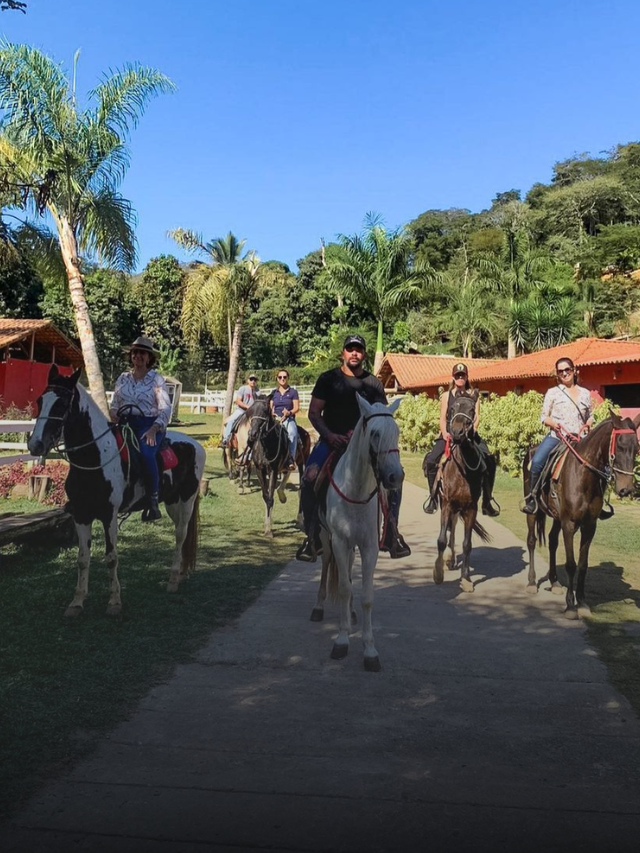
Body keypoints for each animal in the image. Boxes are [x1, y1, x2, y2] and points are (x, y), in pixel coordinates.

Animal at [28, 364, 206, 612]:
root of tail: (194, 444)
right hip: (172, 503)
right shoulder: (81, 515)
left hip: (187, 499)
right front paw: (77, 601)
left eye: (62, 404)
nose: (35, 445)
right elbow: (82, 558)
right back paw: (179, 575)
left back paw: (172, 581)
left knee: (181, 534)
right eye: (40, 400)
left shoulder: (108, 515)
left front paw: (114, 601)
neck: (95, 458)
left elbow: (111, 557)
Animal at [316, 398, 404, 672]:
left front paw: (369, 650)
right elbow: (344, 588)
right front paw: (342, 640)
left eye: (397, 431)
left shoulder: (368, 547)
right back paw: (318, 606)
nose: (395, 477)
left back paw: (352, 613)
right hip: (325, 538)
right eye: (374, 433)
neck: (355, 489)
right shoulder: (339, 542)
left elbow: (366, 596)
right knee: (326, 566)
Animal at [436, 390, 490, 588]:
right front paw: (438, 573)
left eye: (472, 410)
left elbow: (467, 544)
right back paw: (448, 560)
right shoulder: (446, 503)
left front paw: (466, 578)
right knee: (449, 530)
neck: (462, 471)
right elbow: (441, 539)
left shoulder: (470, 508)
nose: (457, 433)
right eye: (452, 408)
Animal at [524, 414, 640, 620]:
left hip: (557, 517)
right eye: (619, 446)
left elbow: (583, 564)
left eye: (637, 448)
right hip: (534, 511)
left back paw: (554, 582)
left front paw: (583, 603)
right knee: (531, 540)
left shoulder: (589, 525)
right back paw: (531, 583)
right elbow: (571, 564)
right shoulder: (569, 524)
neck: (583, 476)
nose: (626, 489)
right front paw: (571, 606)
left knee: (552, 541)